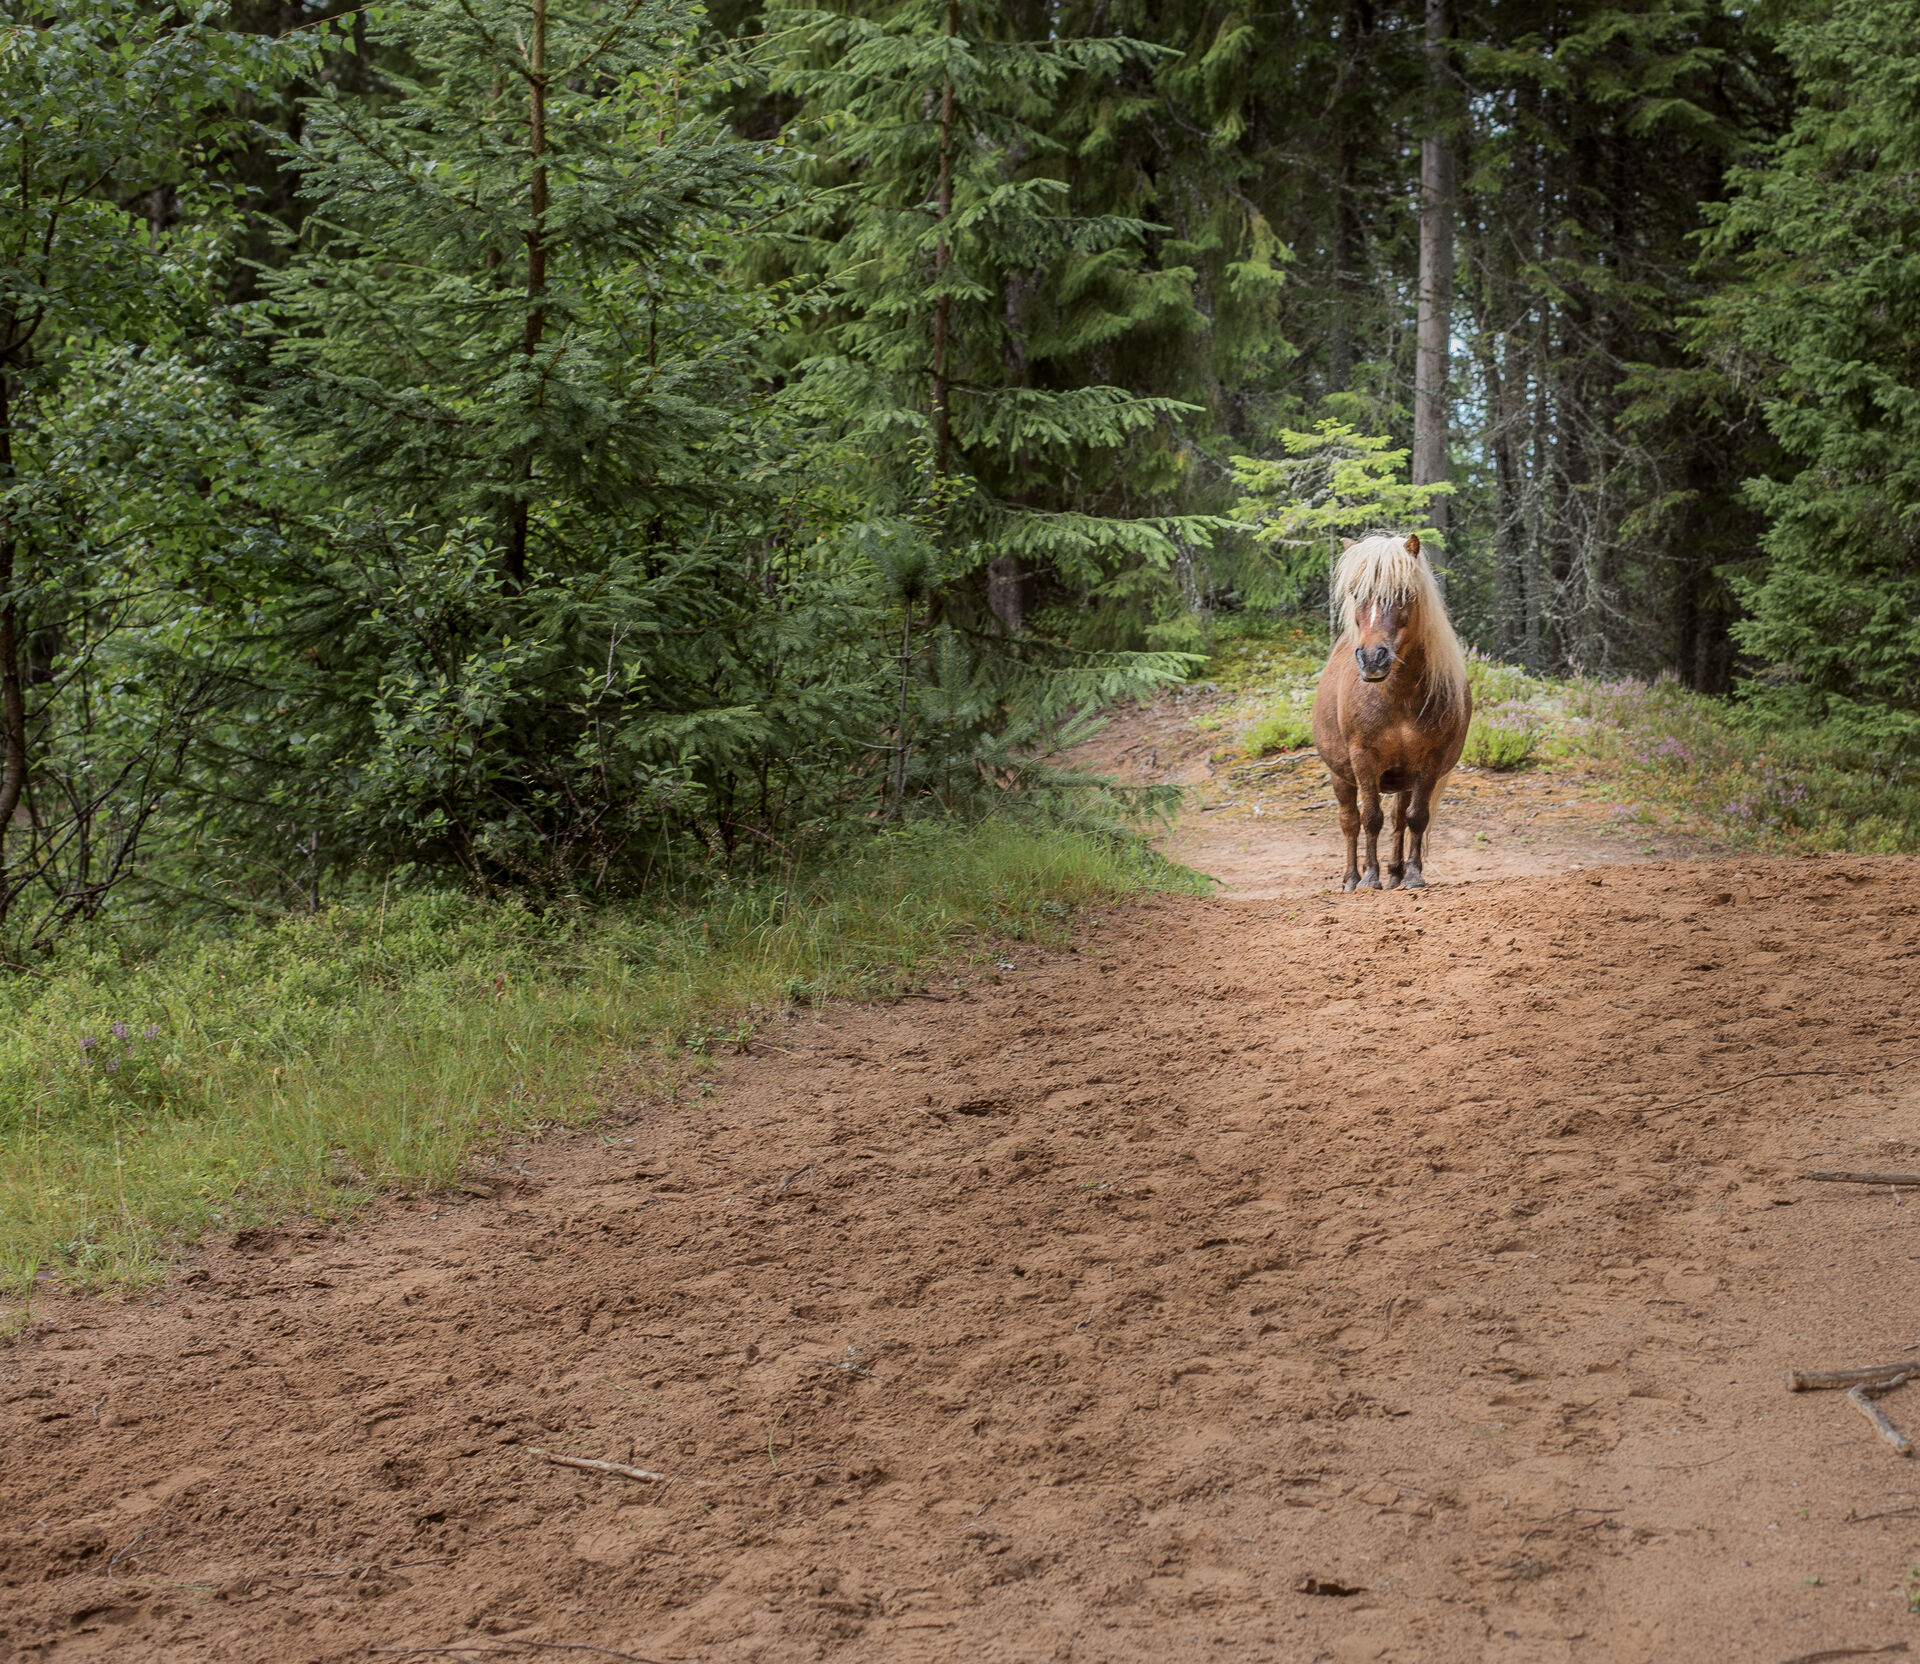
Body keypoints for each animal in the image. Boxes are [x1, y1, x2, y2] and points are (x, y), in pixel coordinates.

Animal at [1310, 533, 1471, 892]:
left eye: (1404, 594)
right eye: (1357, 593)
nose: (1373, 658)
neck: (1397, 699)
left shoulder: (1429, 762)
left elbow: (1415, 818)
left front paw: (1412, 874)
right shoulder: (1362, 759)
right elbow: (1370, 818)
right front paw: (1370, 877)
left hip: (1404, 779)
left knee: (1399, 818)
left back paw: (1396, 873)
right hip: (1341, 776)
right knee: (1350, 822)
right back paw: (1351, 878)